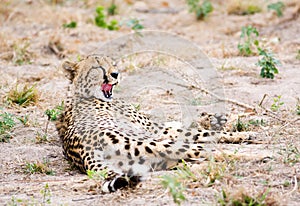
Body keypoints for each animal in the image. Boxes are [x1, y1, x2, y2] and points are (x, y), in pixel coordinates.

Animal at [56, 54, 253, 192]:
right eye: (98, 66)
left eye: (113, 64)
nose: (115, 74)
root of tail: (86, 153)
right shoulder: (156, 130)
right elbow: (199, 132)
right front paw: (241, 133)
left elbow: (185, 124)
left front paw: (213, 119)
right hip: (160, 144)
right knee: (208, 152)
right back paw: (252, 156)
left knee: (189, 161)